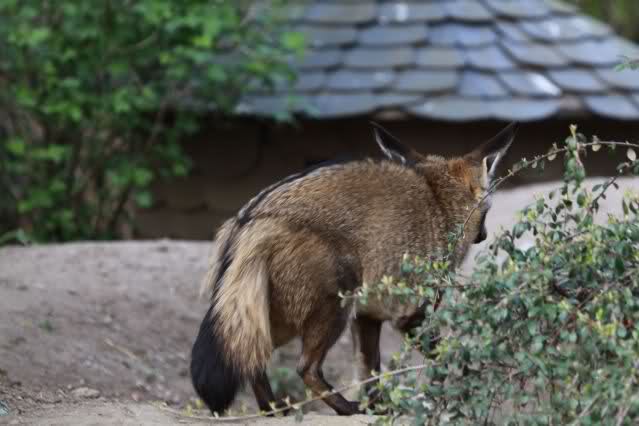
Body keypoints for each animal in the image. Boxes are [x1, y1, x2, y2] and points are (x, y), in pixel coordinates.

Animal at [190, 122, 518, 416]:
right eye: (487, 212)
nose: (484, 235)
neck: (439, 201)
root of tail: (252, 217)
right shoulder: (411, 314)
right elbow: (449, 360)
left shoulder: (368, 315)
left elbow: (370, 371)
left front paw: (379, 408)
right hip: (335, 304)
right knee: (304, 368)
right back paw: (344, 407)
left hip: (271, 318)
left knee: (252, 361)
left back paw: (274, 410)